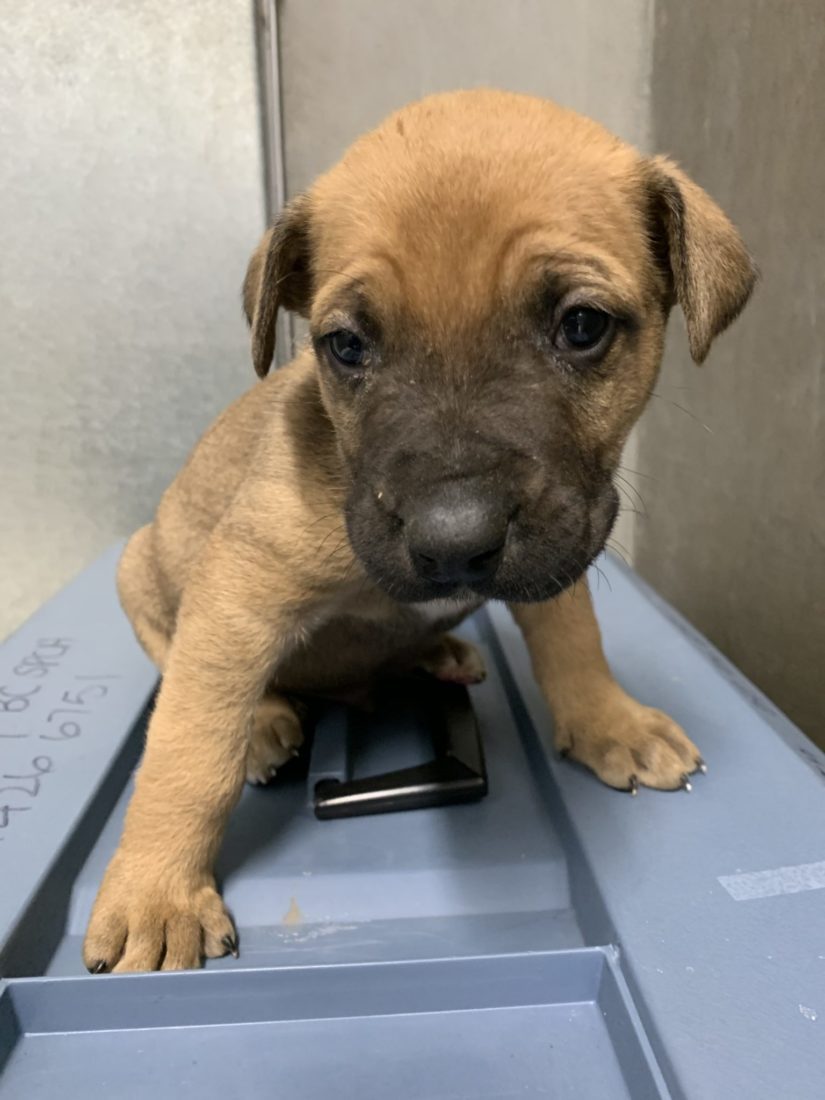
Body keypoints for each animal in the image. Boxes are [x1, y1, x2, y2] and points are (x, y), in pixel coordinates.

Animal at [84, 90, 756, 976]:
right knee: (179, 665)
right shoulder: (237, 591)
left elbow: (574, 640)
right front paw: (156, 891)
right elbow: (187, 749)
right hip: (138, 565)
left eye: (581, 326)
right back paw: (265, 722)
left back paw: (438, 652)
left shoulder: (559, 544)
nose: (454, 541)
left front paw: (607, 722)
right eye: (345, 345)